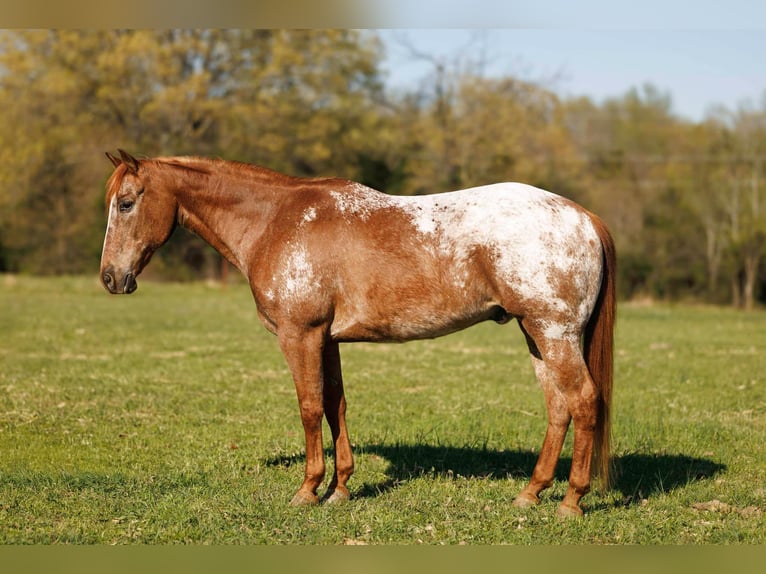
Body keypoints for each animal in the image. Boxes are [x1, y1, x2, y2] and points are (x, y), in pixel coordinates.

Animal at [100, 149, 616, 517]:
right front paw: (340, 487)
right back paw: (531, 493)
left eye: (126, 204)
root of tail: (584, 216)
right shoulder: (327, 340)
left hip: (553, 333)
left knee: (584, 402)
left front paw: (308, 489)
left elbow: (309, 408)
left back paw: (571, 501)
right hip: (537, 334)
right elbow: (335, 405)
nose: (110, 278)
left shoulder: (301, 335)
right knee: (559, 407)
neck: (275, 221)